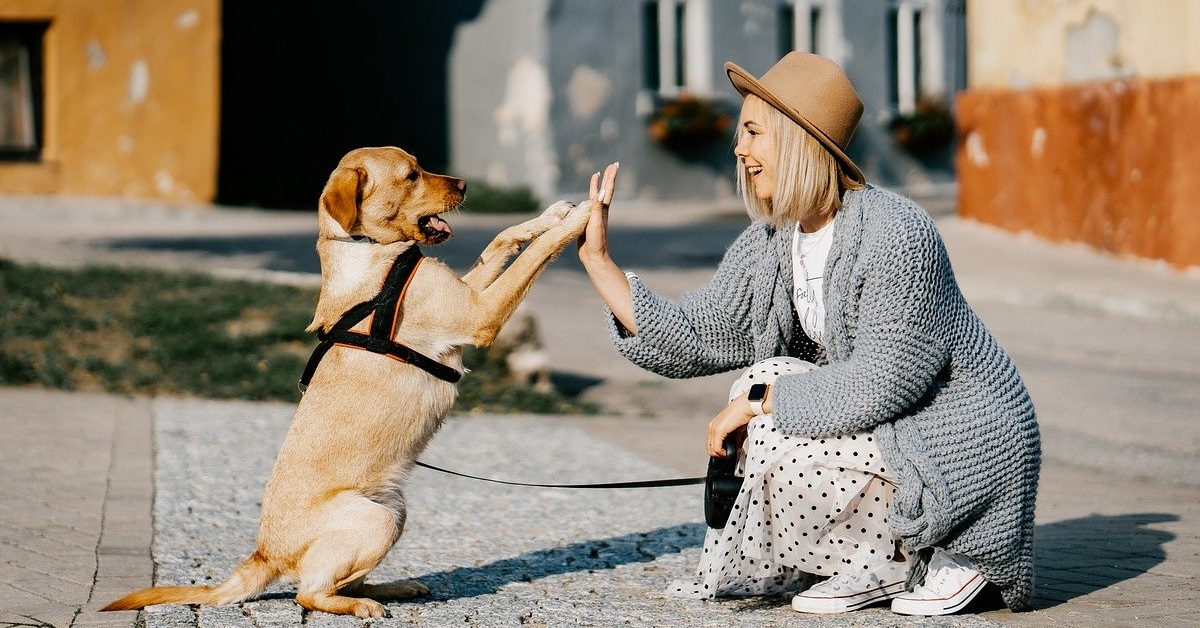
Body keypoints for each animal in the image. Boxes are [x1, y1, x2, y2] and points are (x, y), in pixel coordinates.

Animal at [102, 145, 595, 614]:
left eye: (420, 166)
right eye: (411, 175)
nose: (465, 184)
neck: (367, 248)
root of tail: (263, 554)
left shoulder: (470, 294)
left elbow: (501, 239)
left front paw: (552, 215)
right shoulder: (480, 314)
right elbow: (533, 256)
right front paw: (583, 217)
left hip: (393, 511)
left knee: (339, 580)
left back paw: (393, 588)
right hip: (375, 520)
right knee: (309, 593)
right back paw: (360, 605)